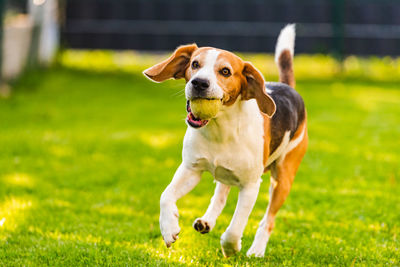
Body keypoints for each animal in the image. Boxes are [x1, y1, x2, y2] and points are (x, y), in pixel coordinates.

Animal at [145, 24, 310, 258]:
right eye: (195, 64)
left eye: (225, 71)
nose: (199, 83)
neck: (220, 130)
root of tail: (288, 87)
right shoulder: (191, 169)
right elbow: (165, 196)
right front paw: (169, 229)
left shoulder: (250, 186)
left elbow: (235, 226)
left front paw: (231, 247)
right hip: (226, 171)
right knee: (220, 195)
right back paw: (206, 221)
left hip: (282, 179)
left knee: (268, 220)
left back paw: (256, 250)